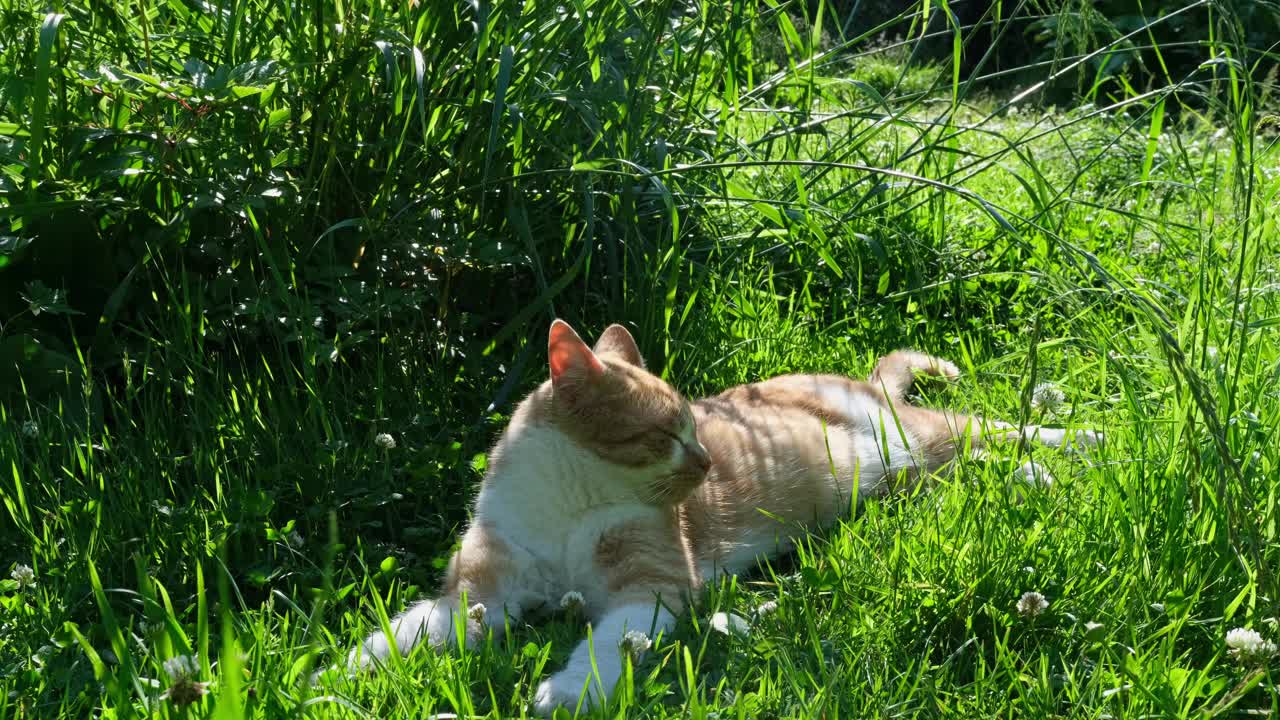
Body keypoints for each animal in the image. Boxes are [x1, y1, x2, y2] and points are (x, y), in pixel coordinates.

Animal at [343, 319, 1100, 712]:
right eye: (668, 433)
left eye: (694, 425)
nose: (707, 460)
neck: (567, 503)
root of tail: (860, 382)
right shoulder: (482, 590)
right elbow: (418, 628)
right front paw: (346, 670)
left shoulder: (651, 589)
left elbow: (608, 644)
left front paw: (567, 689)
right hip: (908, 479)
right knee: (970, 466)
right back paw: (1035, 476)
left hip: (921, 436)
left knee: (999, 428)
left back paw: (1081, 443)